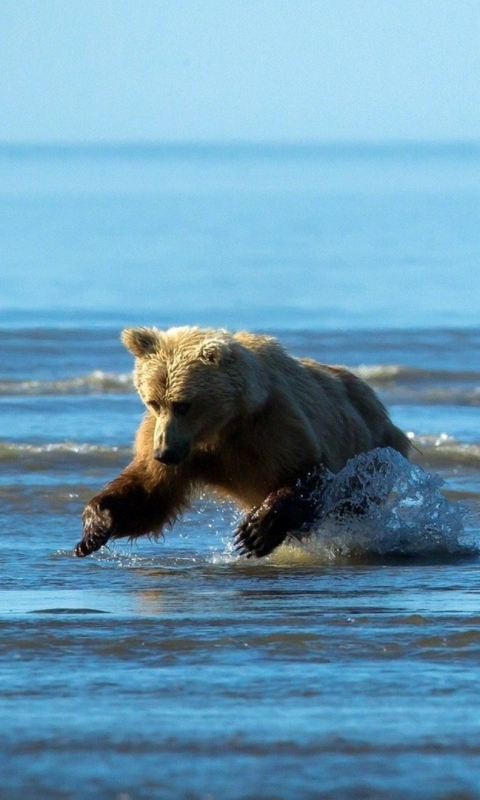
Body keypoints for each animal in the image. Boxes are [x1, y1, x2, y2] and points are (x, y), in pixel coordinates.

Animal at [74, 324, 408, 556]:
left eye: (184, 404)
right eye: (154, 401)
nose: (164, 453)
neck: (222, 427)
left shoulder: (274, 425)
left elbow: (308, 472)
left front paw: (255, 531)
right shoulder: (174, 442)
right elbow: (149, 494)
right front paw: (95, 526)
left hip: (371, 451)